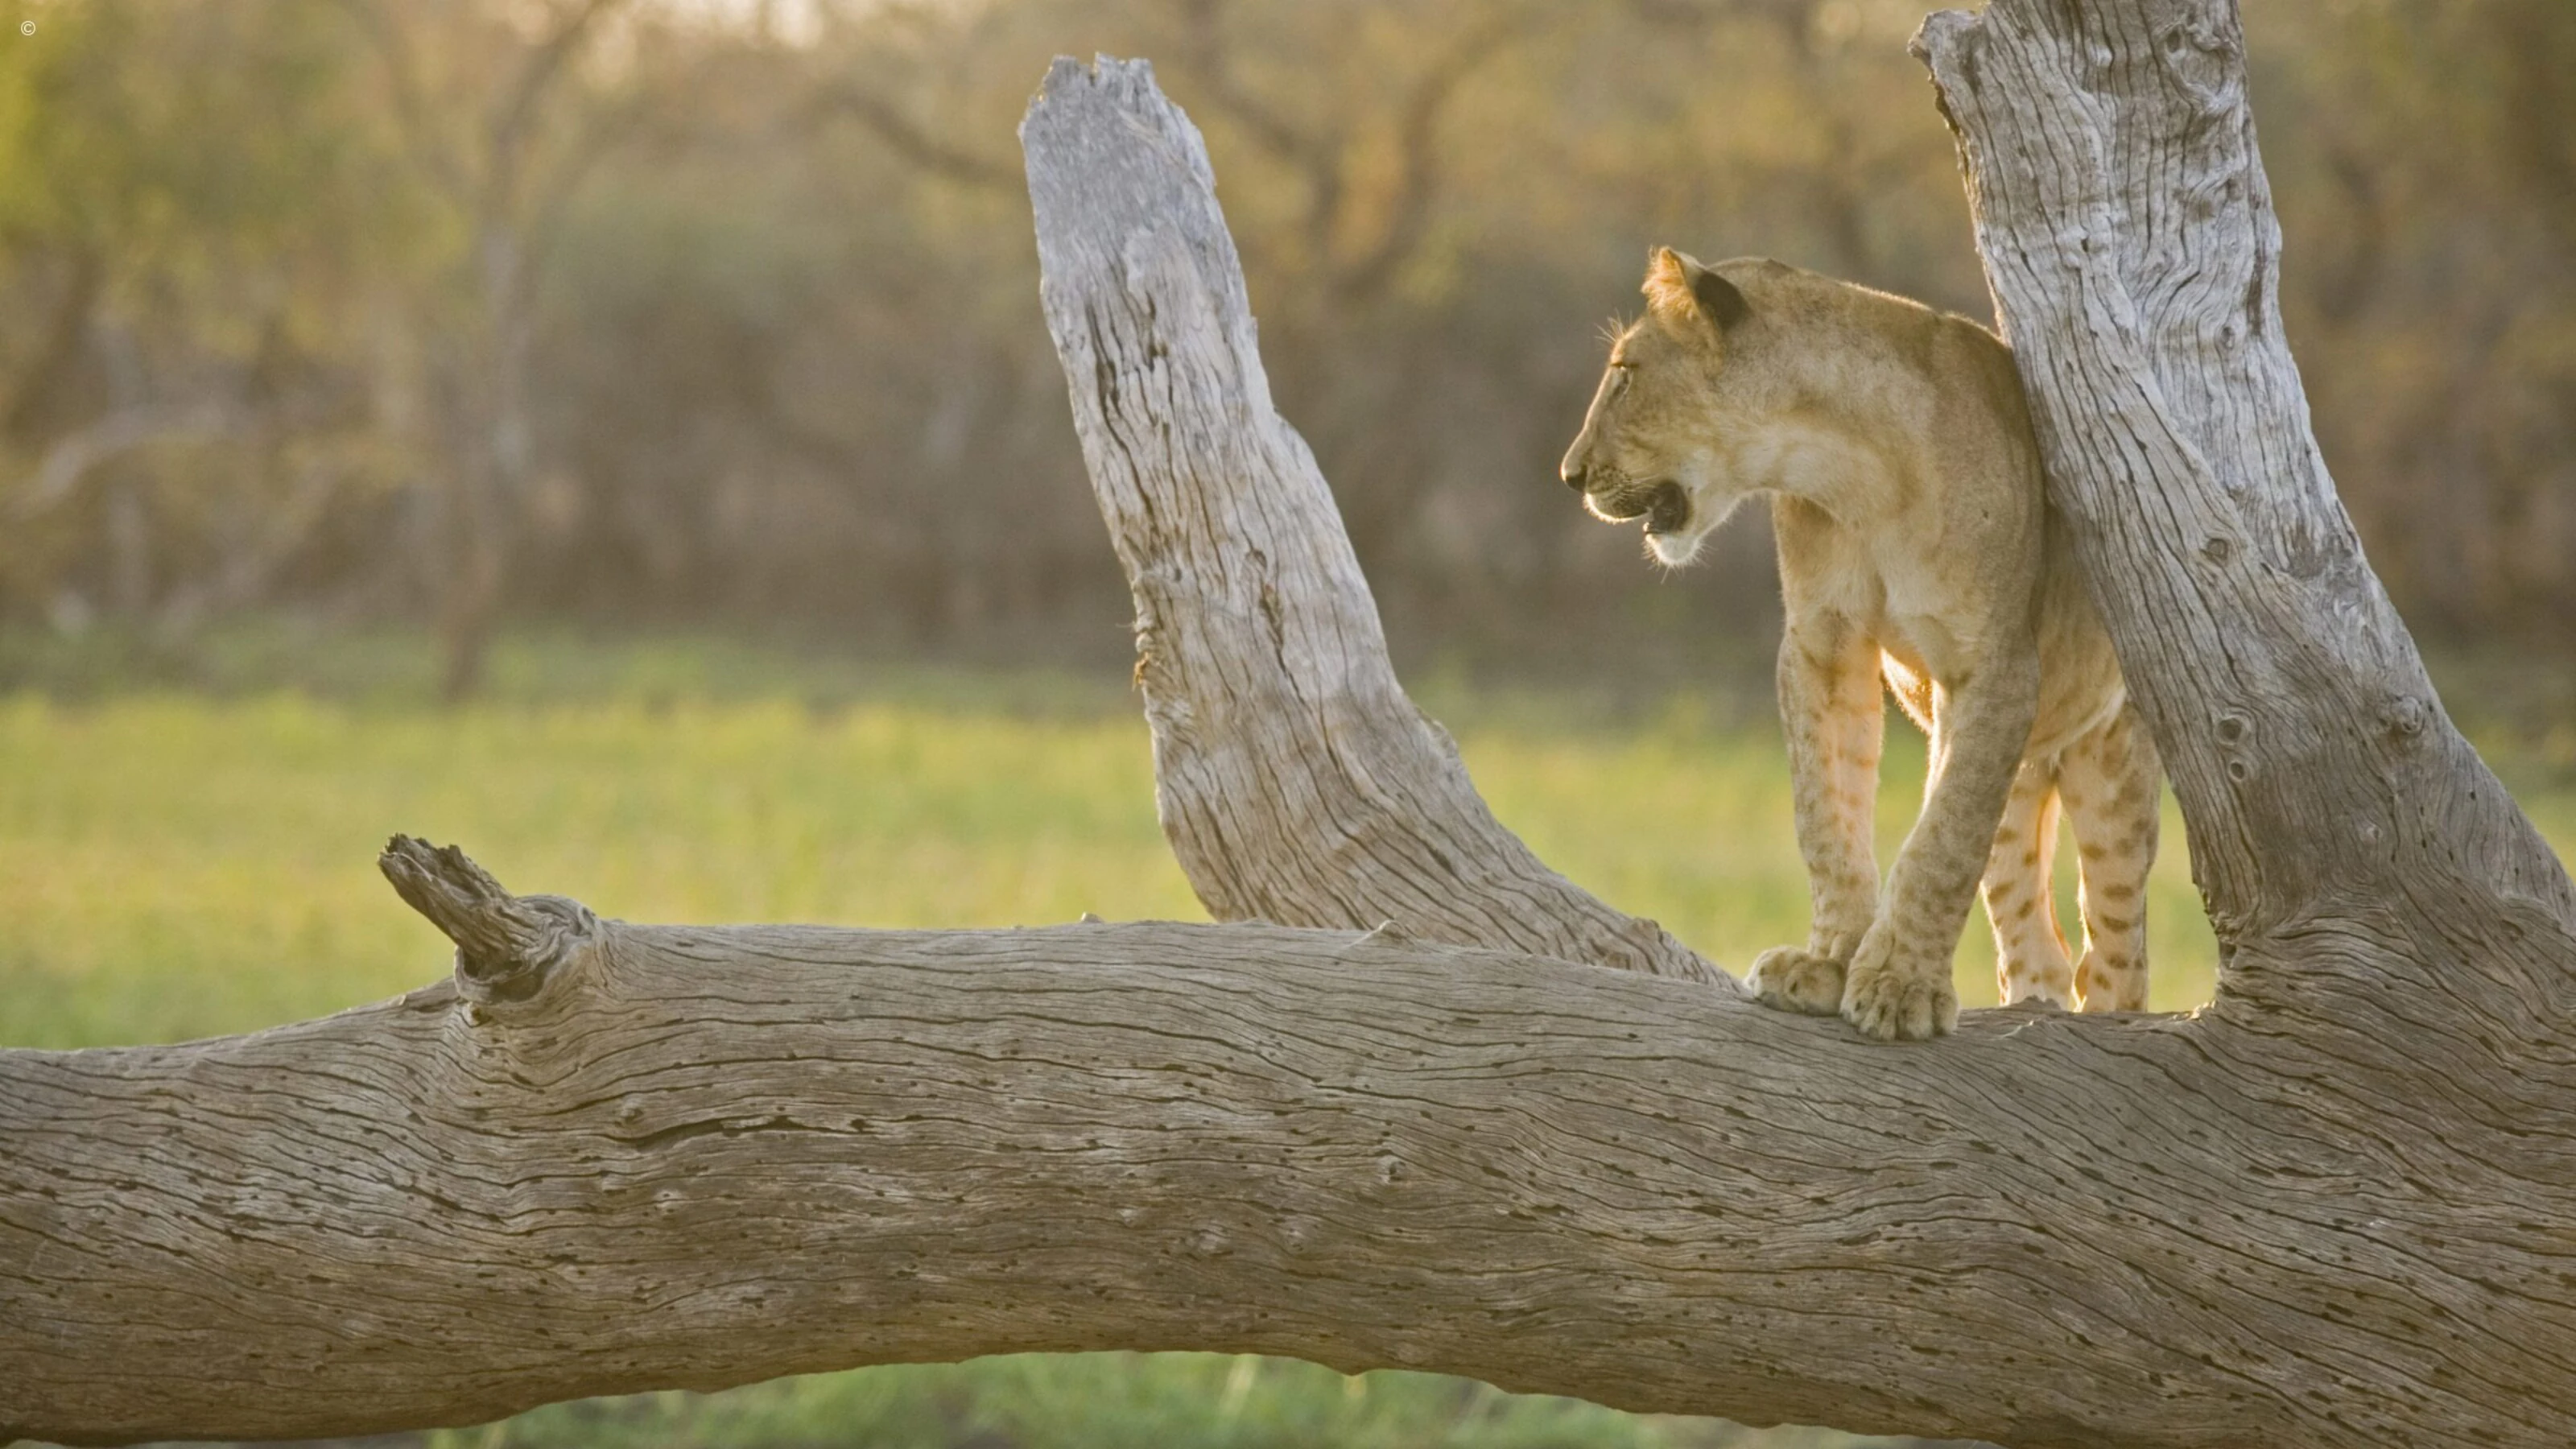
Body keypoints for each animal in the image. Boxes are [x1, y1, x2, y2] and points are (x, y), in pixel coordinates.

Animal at [1559, 247, 2161, 1040]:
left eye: (1625, 373)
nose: (1569, 474)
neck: (1850, 476)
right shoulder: (1821, 646)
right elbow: (1827, 814)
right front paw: (1828, 963)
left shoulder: (1993, 667)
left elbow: (1939, 843)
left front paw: (1900, 986)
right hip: (2018, 777)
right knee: (2036, 940)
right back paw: (2030, 1002)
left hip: (2112, 769)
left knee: (2115, 950)